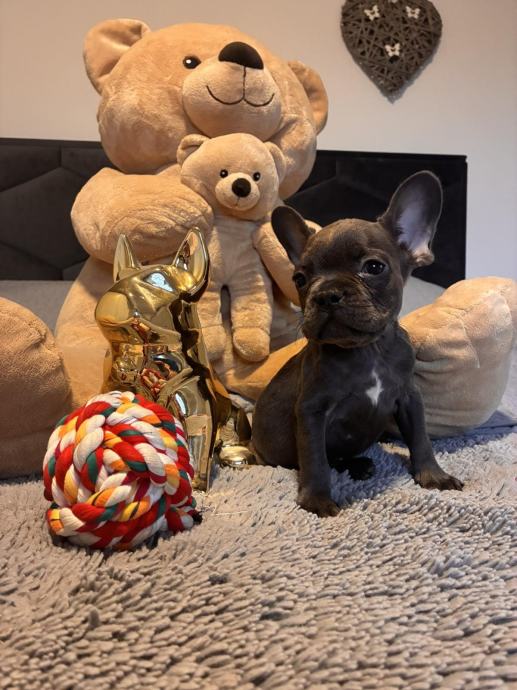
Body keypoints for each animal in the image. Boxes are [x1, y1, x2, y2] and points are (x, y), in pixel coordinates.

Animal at [252, 171, 463, 517]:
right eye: (300, 279)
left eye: (373, 267)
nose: (326, 294)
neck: (368, 350)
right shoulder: (312, 411)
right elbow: (314, 459)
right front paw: (316, 500)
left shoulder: (409, 398)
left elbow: (421, 439)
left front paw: (433, 475)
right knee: (326, 459)